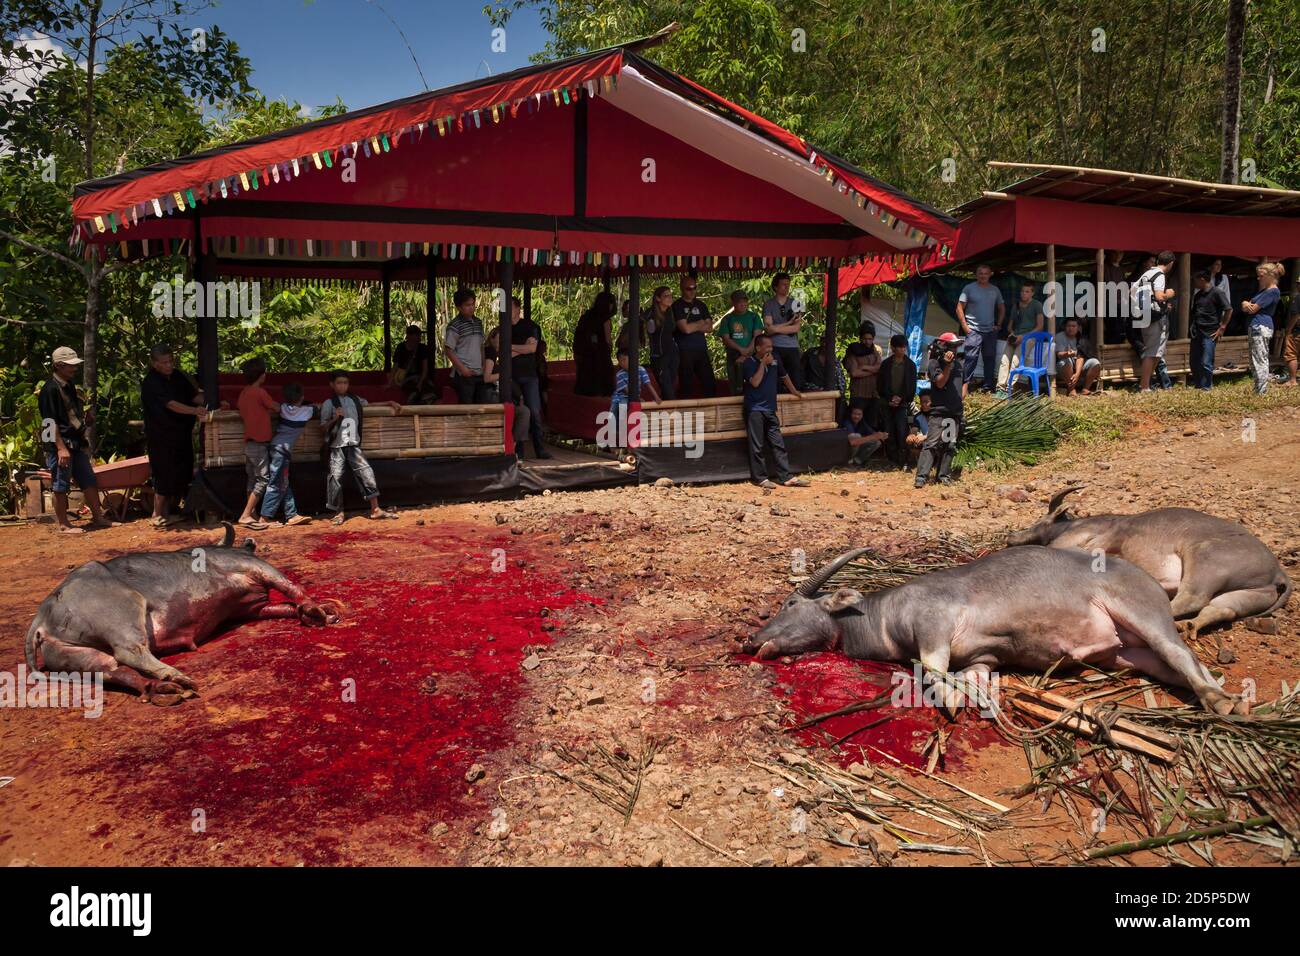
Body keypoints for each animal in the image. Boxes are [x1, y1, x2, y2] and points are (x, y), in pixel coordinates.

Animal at [23, 522, 338, 702]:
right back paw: (176, 676)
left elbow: (283, 605)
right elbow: (288, 585)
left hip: (78, 655)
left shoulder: (252, 609)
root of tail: (42, 616)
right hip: (127, 611)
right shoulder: (252, 566)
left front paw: (312, 613)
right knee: (131, 654)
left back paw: (163, 690)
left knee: (118, 671)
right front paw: (318, 610)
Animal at [738, 541, 1242, 712]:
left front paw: (948, 701)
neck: (883, 616)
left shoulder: (933, 626)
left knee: (1180, 651)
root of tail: (1150, 581)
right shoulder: (982, 659)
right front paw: (968, 698)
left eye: (789, 602)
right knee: (1178, 666)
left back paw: (1223, 702)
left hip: (1140, 612)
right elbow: (969, 676)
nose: (751, 640)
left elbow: (930, 670)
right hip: (1129, 653)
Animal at [1003, 486, 1289, 642]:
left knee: (1190, 599)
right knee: (1221, 609)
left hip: (1204, 560)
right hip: (1249, 594)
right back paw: (1190, 626)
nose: (1010, 537)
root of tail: (1278, 573)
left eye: (1040, 520)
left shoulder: (1102, 537)